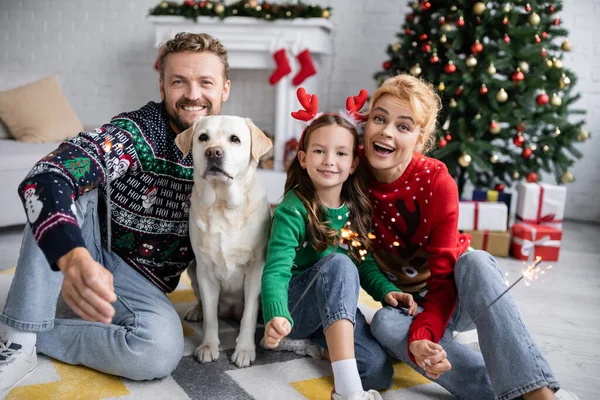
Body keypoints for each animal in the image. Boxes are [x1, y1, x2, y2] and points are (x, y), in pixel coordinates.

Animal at [176, 115, 272, 368]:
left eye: (235, 139)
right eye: (203, 137)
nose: (213, 152)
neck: (222, 205)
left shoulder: (256, 270)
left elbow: (249, 315)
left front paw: (245, 349)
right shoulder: (206, 271)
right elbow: (211, 317)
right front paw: (208, 346)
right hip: (193, 270)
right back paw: (196, 310)